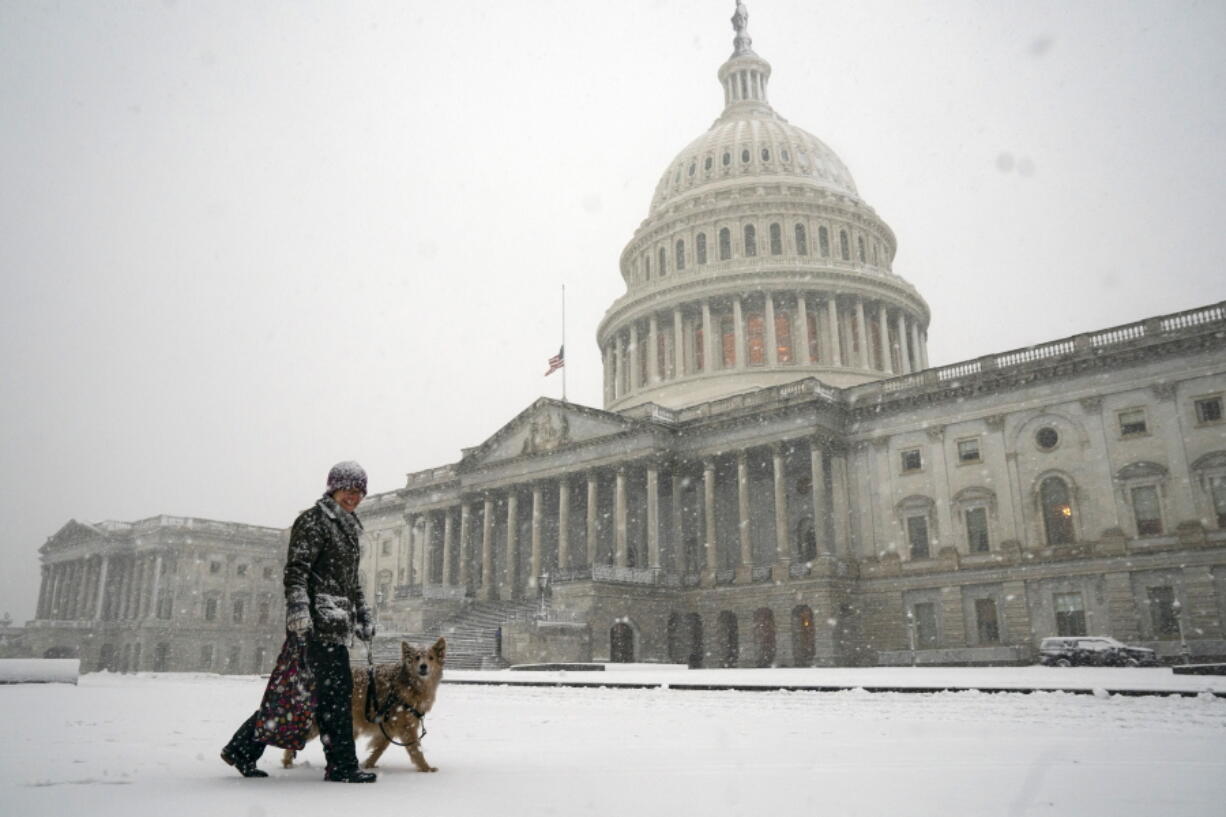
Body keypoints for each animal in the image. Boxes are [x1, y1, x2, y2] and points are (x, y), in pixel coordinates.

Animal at [281, 637, 446, 770]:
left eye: (431, 658)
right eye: (417, 657)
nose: (423, 666)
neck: (410, 684)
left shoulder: (387, 728)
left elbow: (379, 749)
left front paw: (369, 765)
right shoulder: (406, 727)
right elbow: (416, 750)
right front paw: (426, 769)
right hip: (318, 723)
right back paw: (287, 763)